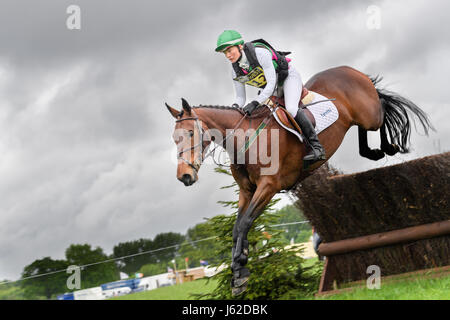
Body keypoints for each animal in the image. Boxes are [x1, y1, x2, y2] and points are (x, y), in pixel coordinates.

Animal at [164, 66, 432, 296]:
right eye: (174, 138)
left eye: (190, 133)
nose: (184, 176)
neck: (246, 139)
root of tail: (351, 70)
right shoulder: (246, 191)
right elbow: (237, 228)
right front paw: (239, 274)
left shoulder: (269, 186)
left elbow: (245, 223)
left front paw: (240, 270)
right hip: (357, 119)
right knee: (366, 132)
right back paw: (375, 152)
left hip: (369, 115)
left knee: (382, 110)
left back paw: (390, 145)